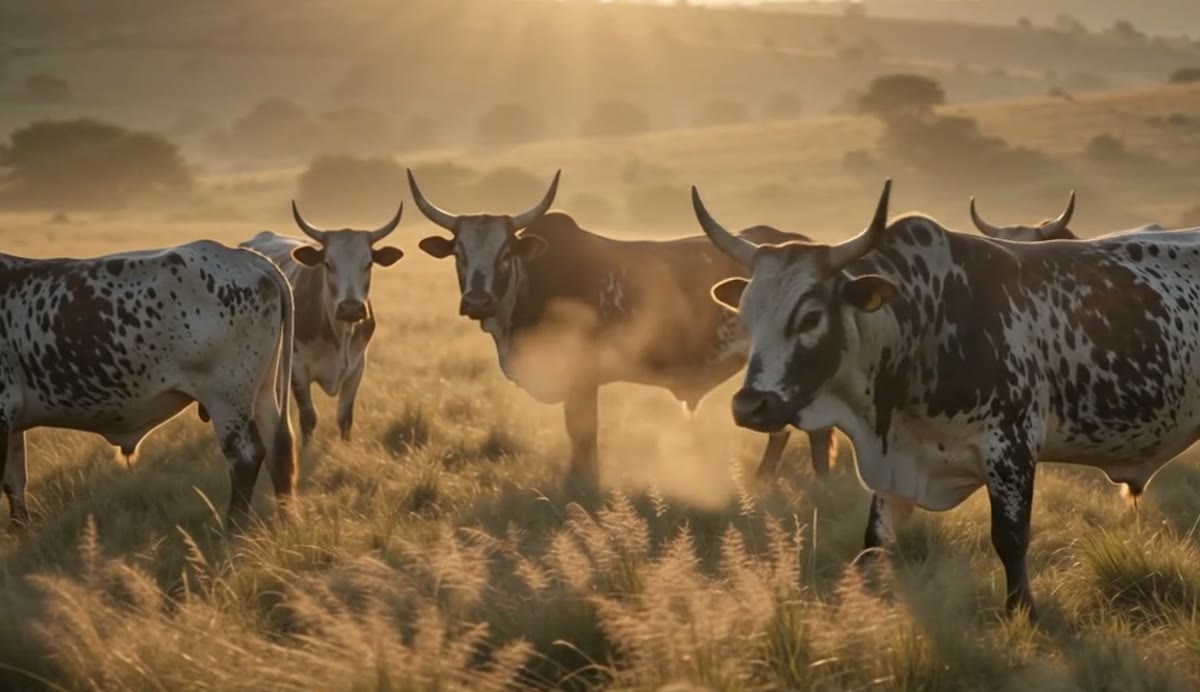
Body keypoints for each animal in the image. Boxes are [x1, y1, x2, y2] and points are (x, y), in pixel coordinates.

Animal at [0, 241, 297, 530]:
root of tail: (241, 256)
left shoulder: (4, 411)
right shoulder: (14, 424)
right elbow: (15, 482)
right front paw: (19, 532)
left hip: (228, 398)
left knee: (246, 456)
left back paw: (234, 527)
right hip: (261, 393)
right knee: (278, 451)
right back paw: (283, 523)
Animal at [239, 202, 404, 444]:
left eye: (369, 264)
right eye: (328, 264)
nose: (351, 307)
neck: (339, 333)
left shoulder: (357, 367)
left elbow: (345, 417)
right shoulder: (297, 368)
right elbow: (309, 418)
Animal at [405, 169, 837, 483]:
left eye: (505, 252)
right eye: (459, 253)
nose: (478, 300)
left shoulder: (580, 379)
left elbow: (582, 434)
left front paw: (580, 484)